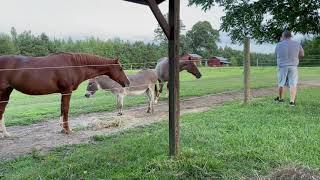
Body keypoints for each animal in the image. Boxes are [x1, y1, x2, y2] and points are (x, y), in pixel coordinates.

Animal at [0, 52, 130, 136]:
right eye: (120, 68)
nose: (127, 83)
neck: (74, 65)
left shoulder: (63, 92)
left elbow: (62, 109)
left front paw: (63, 129)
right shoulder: (67, 91)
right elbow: (66, 109)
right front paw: (68, 130)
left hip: (7, 92)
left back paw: (5, 133)